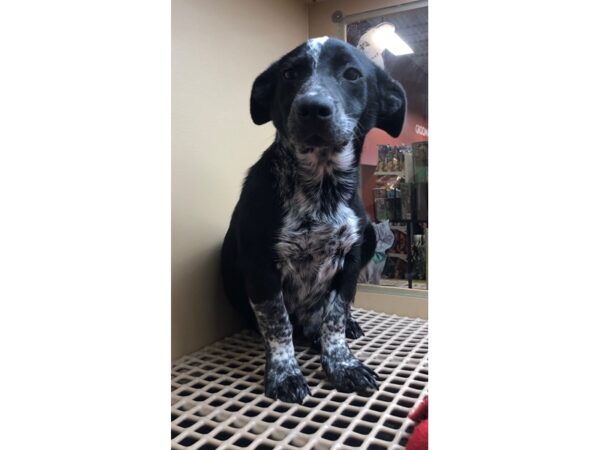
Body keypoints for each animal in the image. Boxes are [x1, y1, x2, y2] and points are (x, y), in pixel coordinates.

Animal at [221, 37, 408, 402]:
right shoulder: (260, 267)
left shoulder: (351, 261)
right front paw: (284, 372)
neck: (322, 188)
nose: (312, 108)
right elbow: (278, 324)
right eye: (289, 73)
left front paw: (342, 363)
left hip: (369, 239)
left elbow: (335, 316)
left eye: (352, 74)